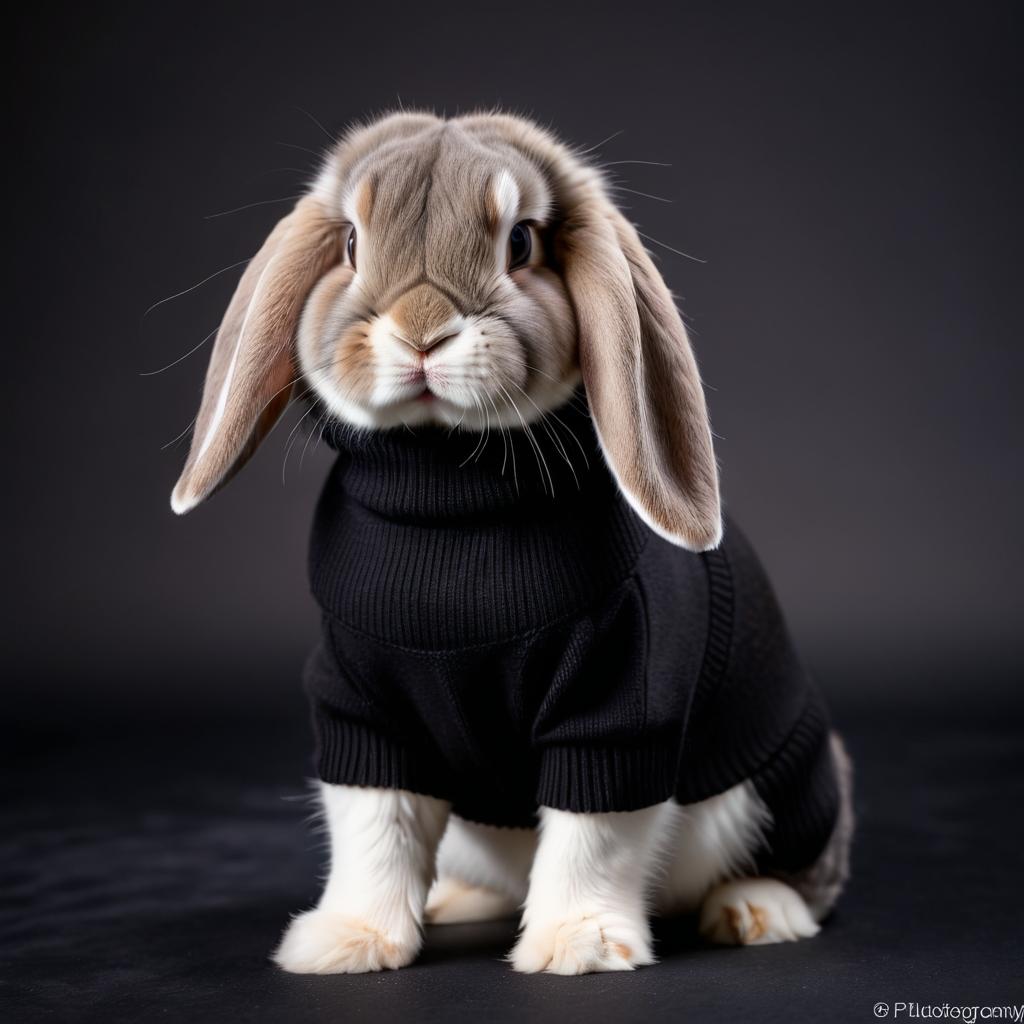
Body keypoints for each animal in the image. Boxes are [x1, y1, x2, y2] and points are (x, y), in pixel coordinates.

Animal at [172, 110, 851, 974]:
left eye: (521, 242)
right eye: (351, 243)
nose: (422, 333)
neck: (451, 498)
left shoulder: (617, 712)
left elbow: (592, 834)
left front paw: (578, 947)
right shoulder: (362, 714)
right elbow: (375, 830)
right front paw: (345, 941)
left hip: (788, 784)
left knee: (801, 872)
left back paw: (755, 913)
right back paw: (456, 902)